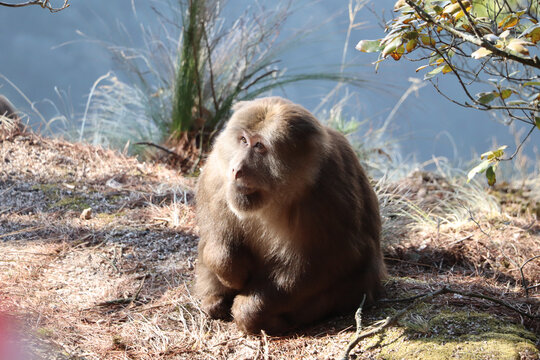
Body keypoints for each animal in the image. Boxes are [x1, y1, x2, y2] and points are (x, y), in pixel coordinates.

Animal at [194, 96, 384, 334]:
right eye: (243, 140)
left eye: (259, 146)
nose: (237, 169)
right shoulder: (216, 174)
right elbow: (214, 234)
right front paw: (232, 271)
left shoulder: (330, 196)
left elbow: (329, 261)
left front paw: (248, 309)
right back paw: (215, 300)